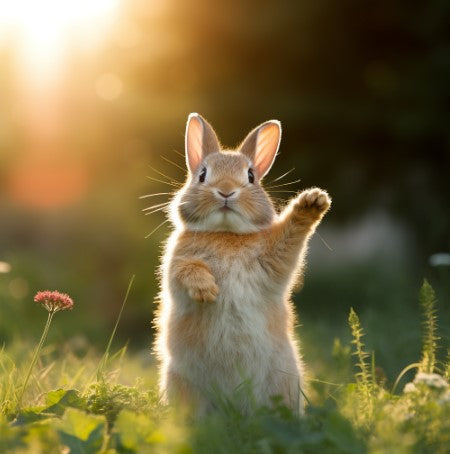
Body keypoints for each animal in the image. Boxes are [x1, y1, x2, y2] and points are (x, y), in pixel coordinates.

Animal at [155, 112, 330, 414]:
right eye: (202, 175)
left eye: (250, 176)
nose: (226, 191)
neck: (227, 234)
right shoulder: (175, 265)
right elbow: (187, 270)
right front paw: (206, 290)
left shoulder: (275, 260)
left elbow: (290, 237)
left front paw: (314, 202)